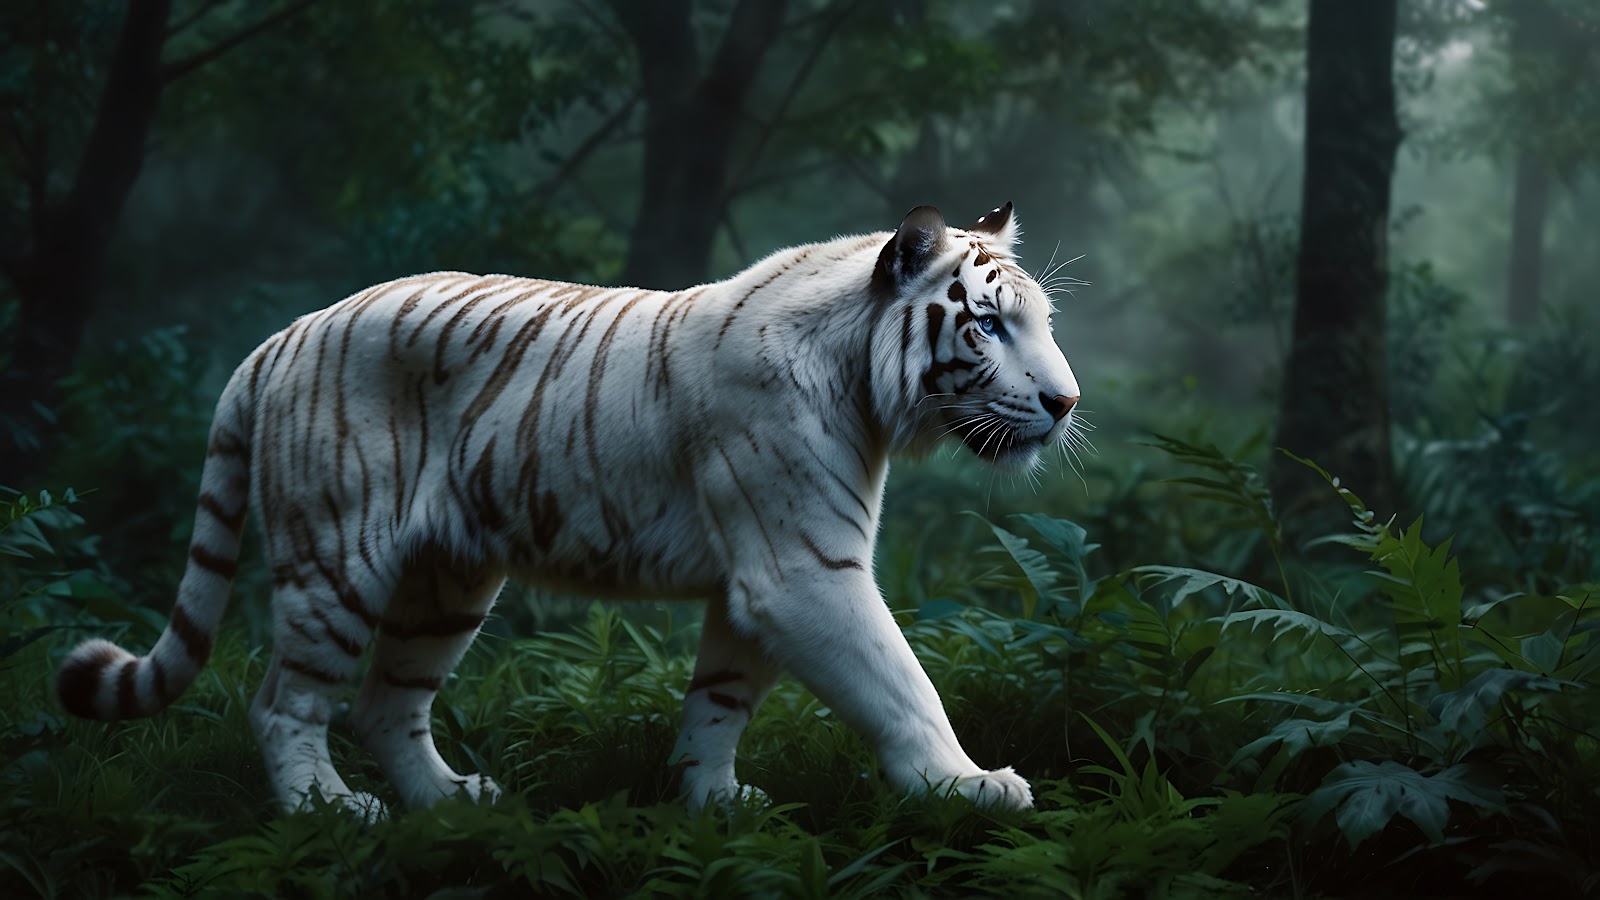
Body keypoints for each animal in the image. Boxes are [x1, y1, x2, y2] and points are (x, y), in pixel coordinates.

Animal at [56, 202, 1081, 817]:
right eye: (989, 324)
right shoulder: (802, 568)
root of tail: (281, 337)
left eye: (1041, 322)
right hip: (336, 561)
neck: (865, 383)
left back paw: (450, 801)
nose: (1067, 402)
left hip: (449, 582)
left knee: (386, 706)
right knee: (284, 703)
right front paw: (967, 785)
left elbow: (721, 697)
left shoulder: (761, 576)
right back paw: (333, 811)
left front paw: (709, 801)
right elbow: (901, 683)